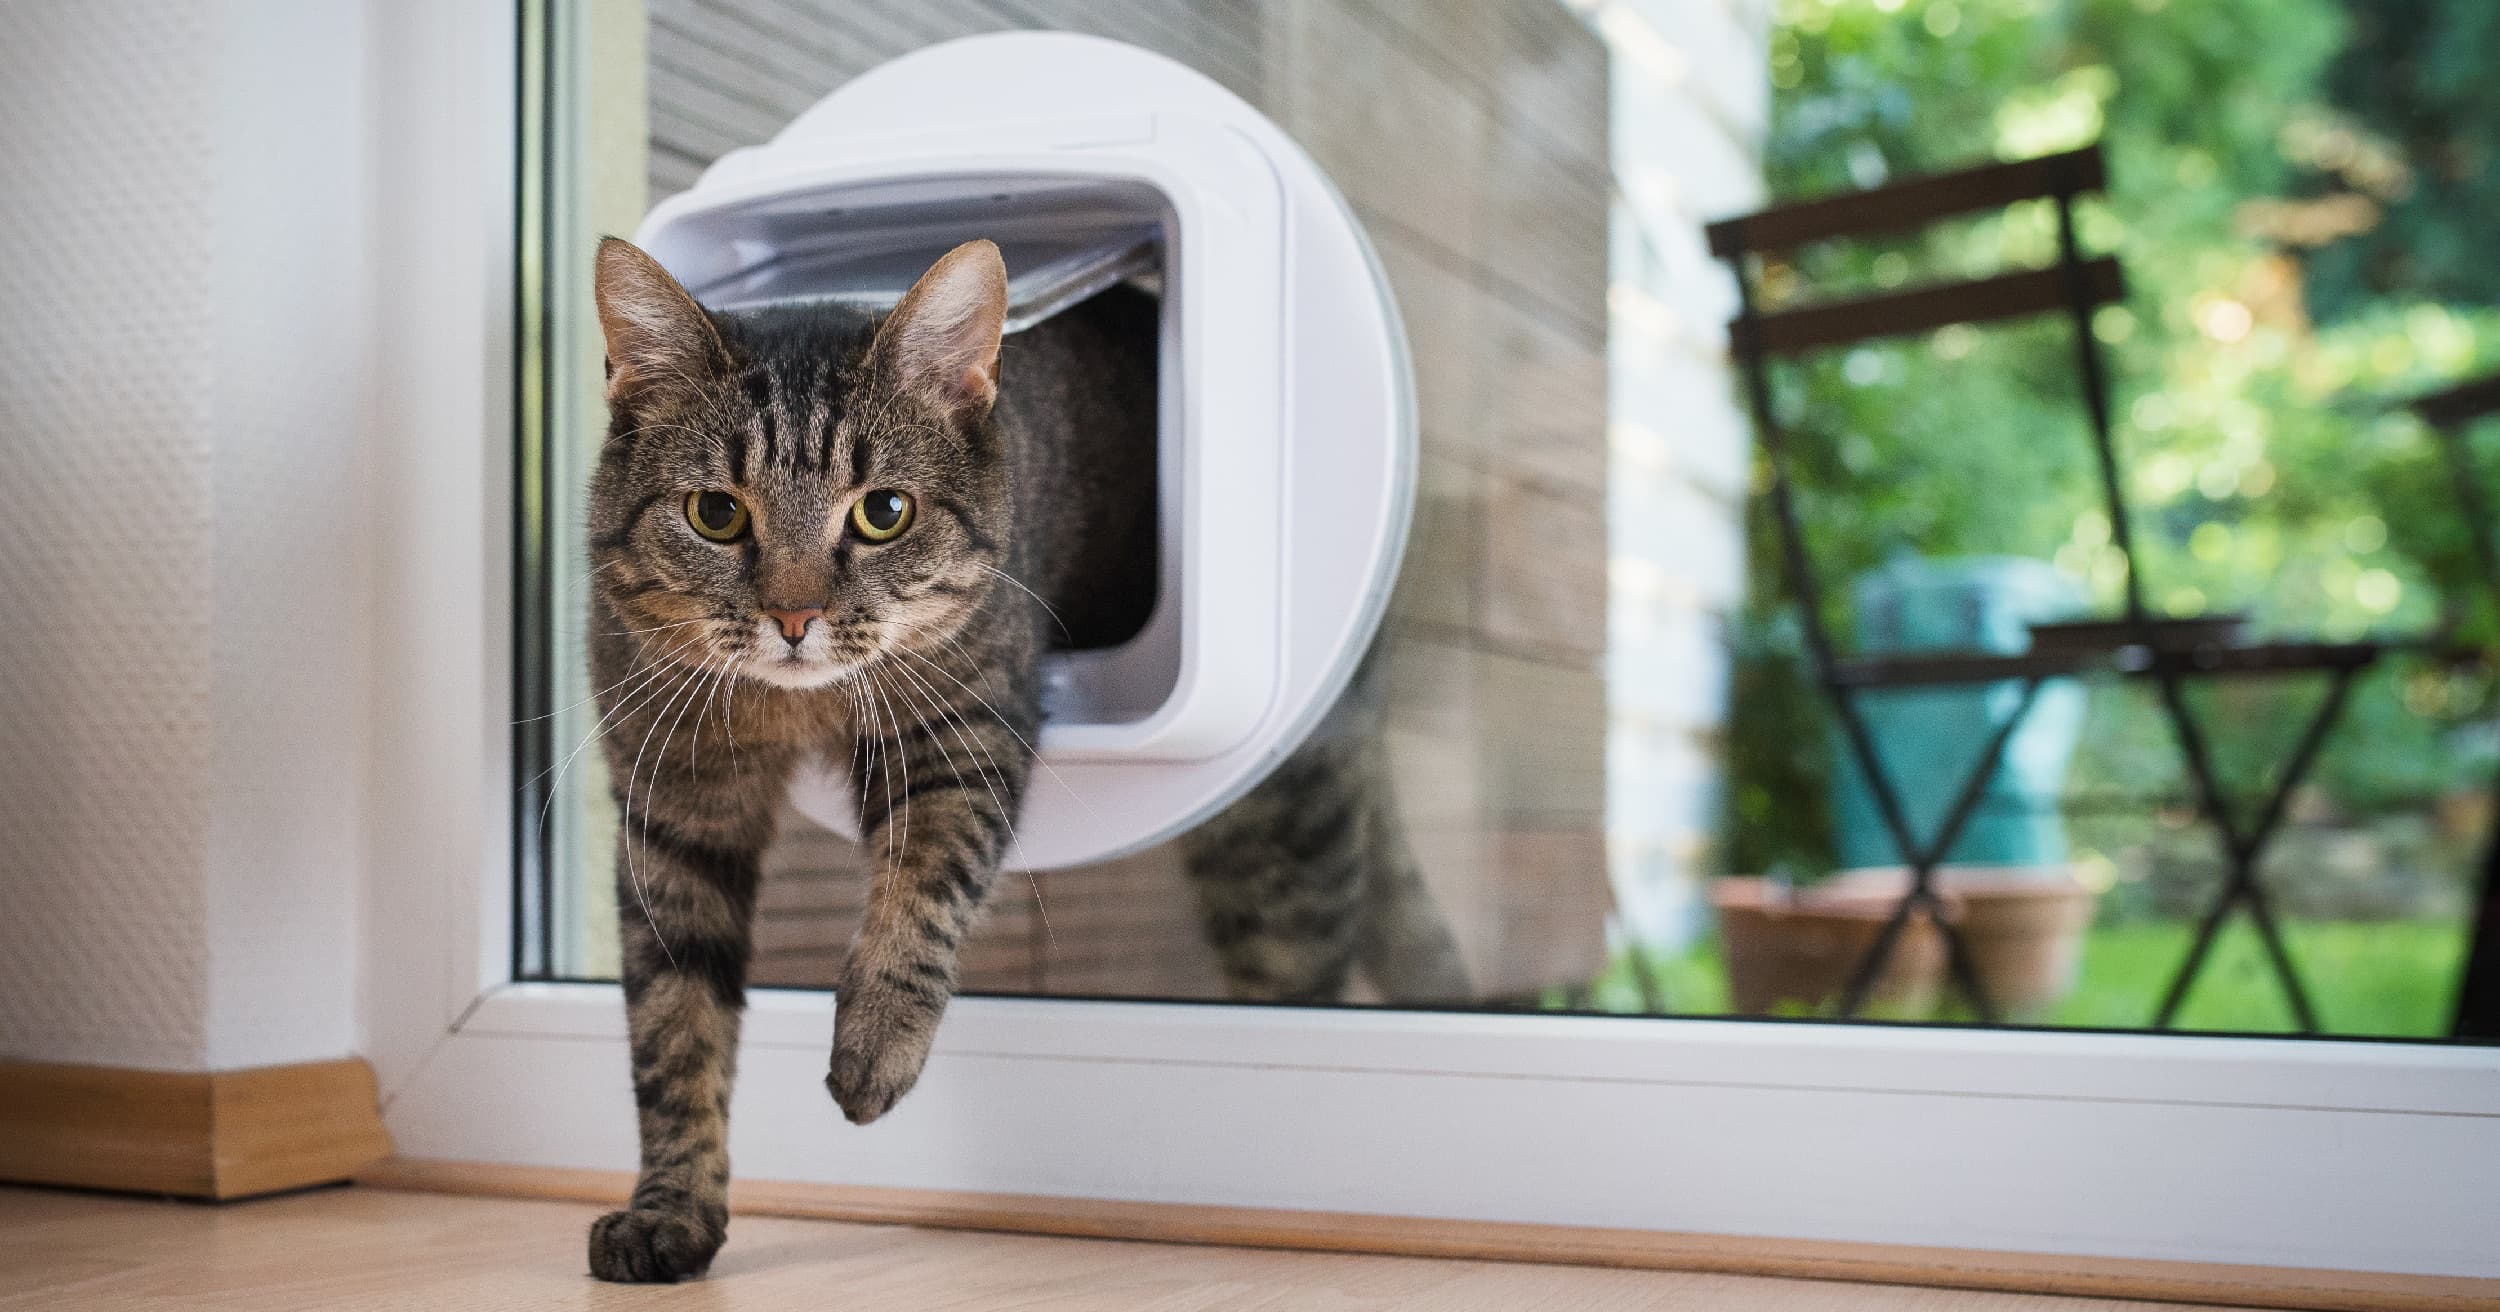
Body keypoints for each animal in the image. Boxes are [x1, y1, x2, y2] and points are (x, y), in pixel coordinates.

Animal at [580, 234, 1460, 1279]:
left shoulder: (963, 733)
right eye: (715, 512)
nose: (794, 618)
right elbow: (674, 1025)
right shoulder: (674, 808)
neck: (801, 710)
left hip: (1285, 834)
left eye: (883, 512)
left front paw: (875, 1045)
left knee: (1299, 970)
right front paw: (671, 1209)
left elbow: (923, 892)